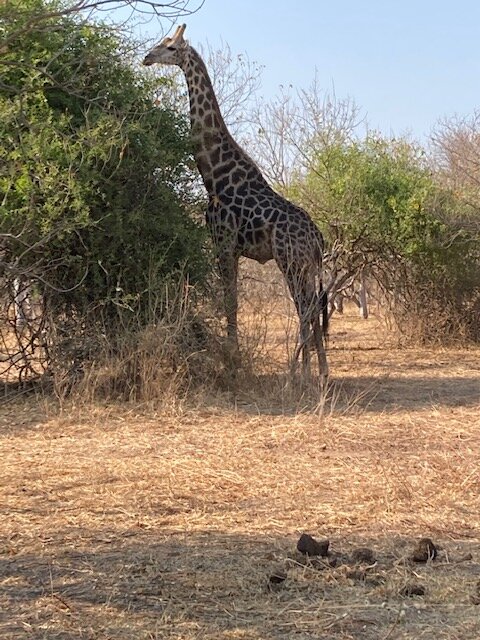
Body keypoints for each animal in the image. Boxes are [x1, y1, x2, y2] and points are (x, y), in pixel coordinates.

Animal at [142, 23, 330, 384]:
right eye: (161, 43)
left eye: (170, 46)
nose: (147, 57)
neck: (213, 173)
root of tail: (318, 240)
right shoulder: (232, 248)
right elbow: (232, 302)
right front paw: (234, 356)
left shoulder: (223, 243)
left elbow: (230, 302)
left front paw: (234, 359)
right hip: (305, 266)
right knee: (312, 307)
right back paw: (321, 372)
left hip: (290, 260)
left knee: (306, 307)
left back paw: (297, 373)